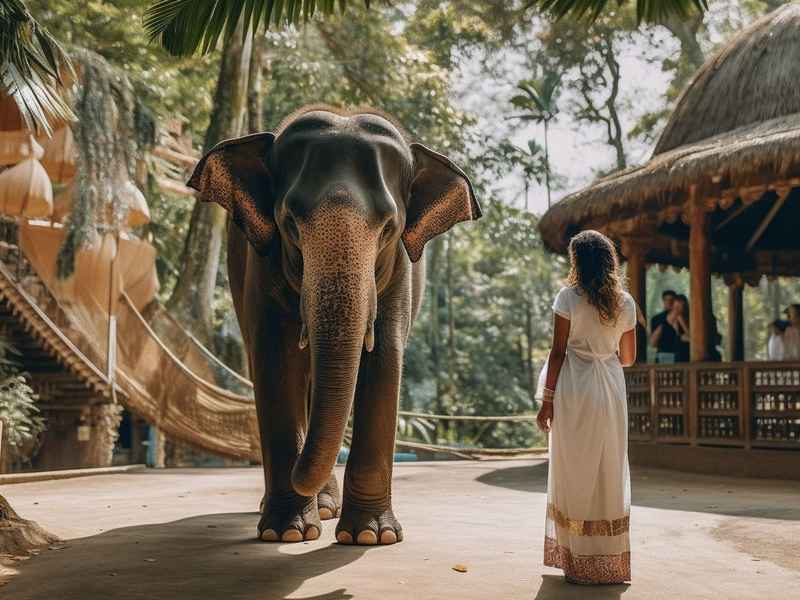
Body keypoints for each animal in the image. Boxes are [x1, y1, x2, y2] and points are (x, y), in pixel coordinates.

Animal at [188, 105, 481, 546]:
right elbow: (275, 360)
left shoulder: (400, 273)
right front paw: (286, 532)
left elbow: (384, 358)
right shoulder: (262, 262)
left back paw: (328, 509)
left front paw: (371, 536)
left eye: (389, 227)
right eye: (289, 222)